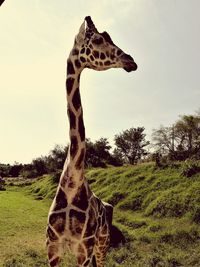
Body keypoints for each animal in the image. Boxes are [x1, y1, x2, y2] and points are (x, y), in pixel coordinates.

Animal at [46, 15, 138, 266]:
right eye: (97, 39)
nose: (131, 60)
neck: (72, 182)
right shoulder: (52, 246)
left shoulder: (84, 248)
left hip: (102, 243)